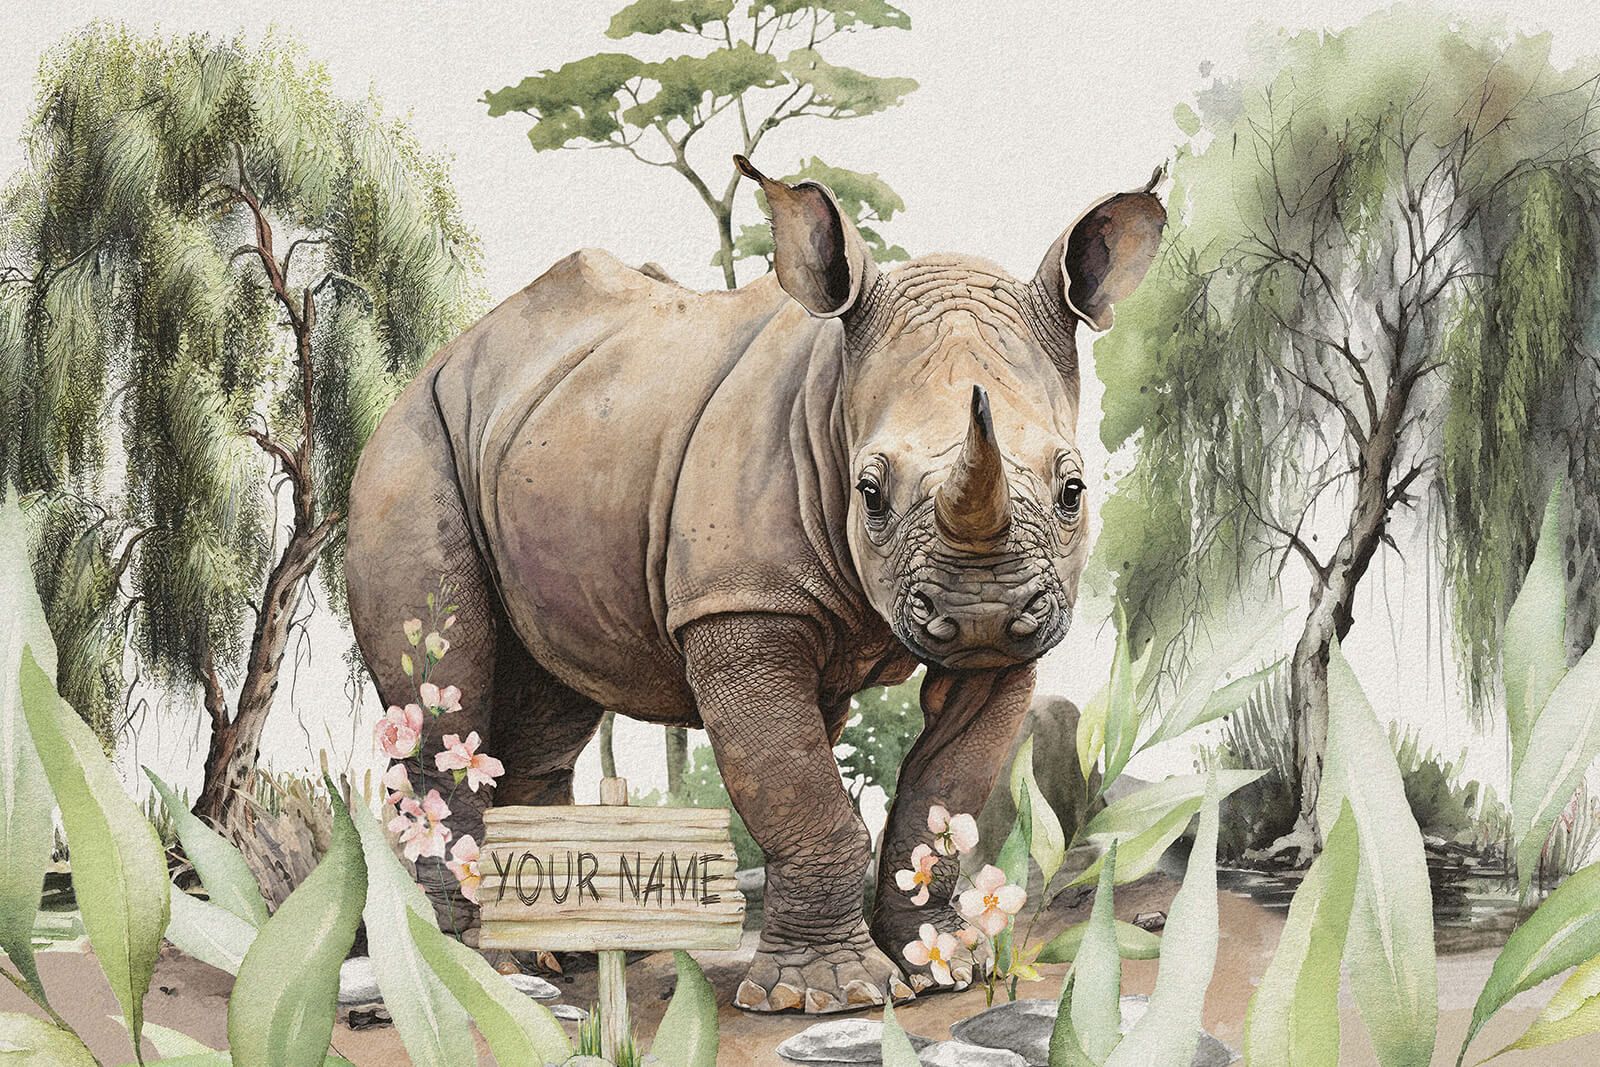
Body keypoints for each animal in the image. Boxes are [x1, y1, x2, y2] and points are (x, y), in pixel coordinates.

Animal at [344, 156, 1164, 1013]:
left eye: (1072, 490)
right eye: (870, 493)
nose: (982, 613)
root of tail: (444, 356)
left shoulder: (1011, 635)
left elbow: (945, 790)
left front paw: (942, 971)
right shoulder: (741, 604)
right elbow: (803, 793)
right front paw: (836, 994)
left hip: (543, 444)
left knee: (549, 703)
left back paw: (565, 951)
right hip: (411, 445)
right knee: (445, 683)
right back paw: (486, 967)